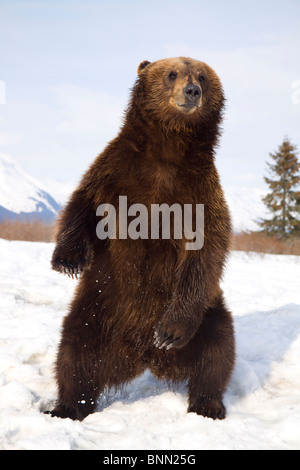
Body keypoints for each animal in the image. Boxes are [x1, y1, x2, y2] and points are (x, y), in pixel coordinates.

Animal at [46, 57, 234, 422]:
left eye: (202, 76)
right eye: (172, 73)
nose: (193, 91)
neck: (167, 150)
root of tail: (144, 356)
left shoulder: (200, 192)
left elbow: (206, 248)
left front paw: (169, 331)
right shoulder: (116, 171)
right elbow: (83, 203)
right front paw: (68, 261)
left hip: (205, 314)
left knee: (217, 351)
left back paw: (207, 404)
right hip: (98, 307)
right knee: (74, 352)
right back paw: (67, 407)